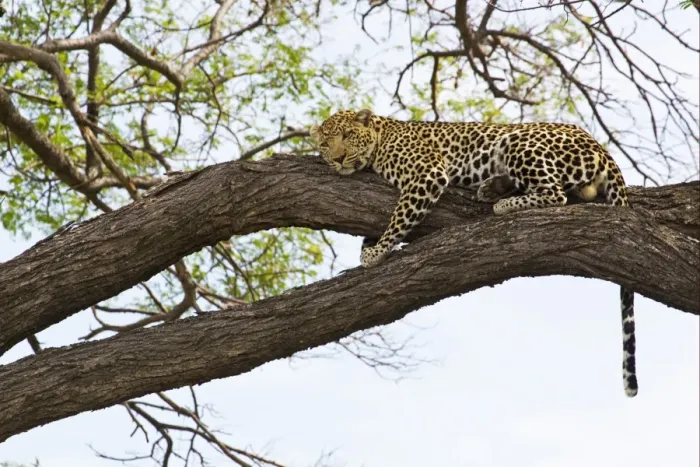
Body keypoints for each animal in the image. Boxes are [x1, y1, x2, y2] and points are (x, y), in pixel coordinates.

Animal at [310, 109, 638, 398]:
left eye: (348, 135)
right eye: (326, 144)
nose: (338, 159)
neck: (381, 137)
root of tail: (599, 146)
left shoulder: (426, 174)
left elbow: (399, 217)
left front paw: (377, 252)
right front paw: (369, 247)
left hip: (517, 141)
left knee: (555, 193)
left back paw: (502, 203)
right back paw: (493, 187)